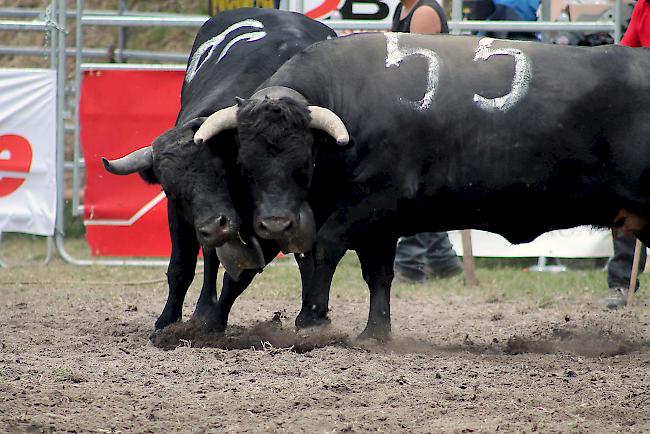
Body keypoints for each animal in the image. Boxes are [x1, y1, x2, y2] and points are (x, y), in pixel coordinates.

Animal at [102, 7, 334, 332]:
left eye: (224, 173)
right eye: (172, 191)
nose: (215, 226)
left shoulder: (272, 222)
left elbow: (242, 274)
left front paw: (214, 322)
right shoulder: (181, 217)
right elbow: (183, 266)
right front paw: (168, 321)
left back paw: (308, 315)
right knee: (212, 257)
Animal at [196, 33, 648, 340]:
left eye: (302, 162)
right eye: (245, 163)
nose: (274, 224)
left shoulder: (369, 204)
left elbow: (325, 248)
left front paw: (311, 320)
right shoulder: (379, 224)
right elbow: (377, 274)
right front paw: (374, 333)